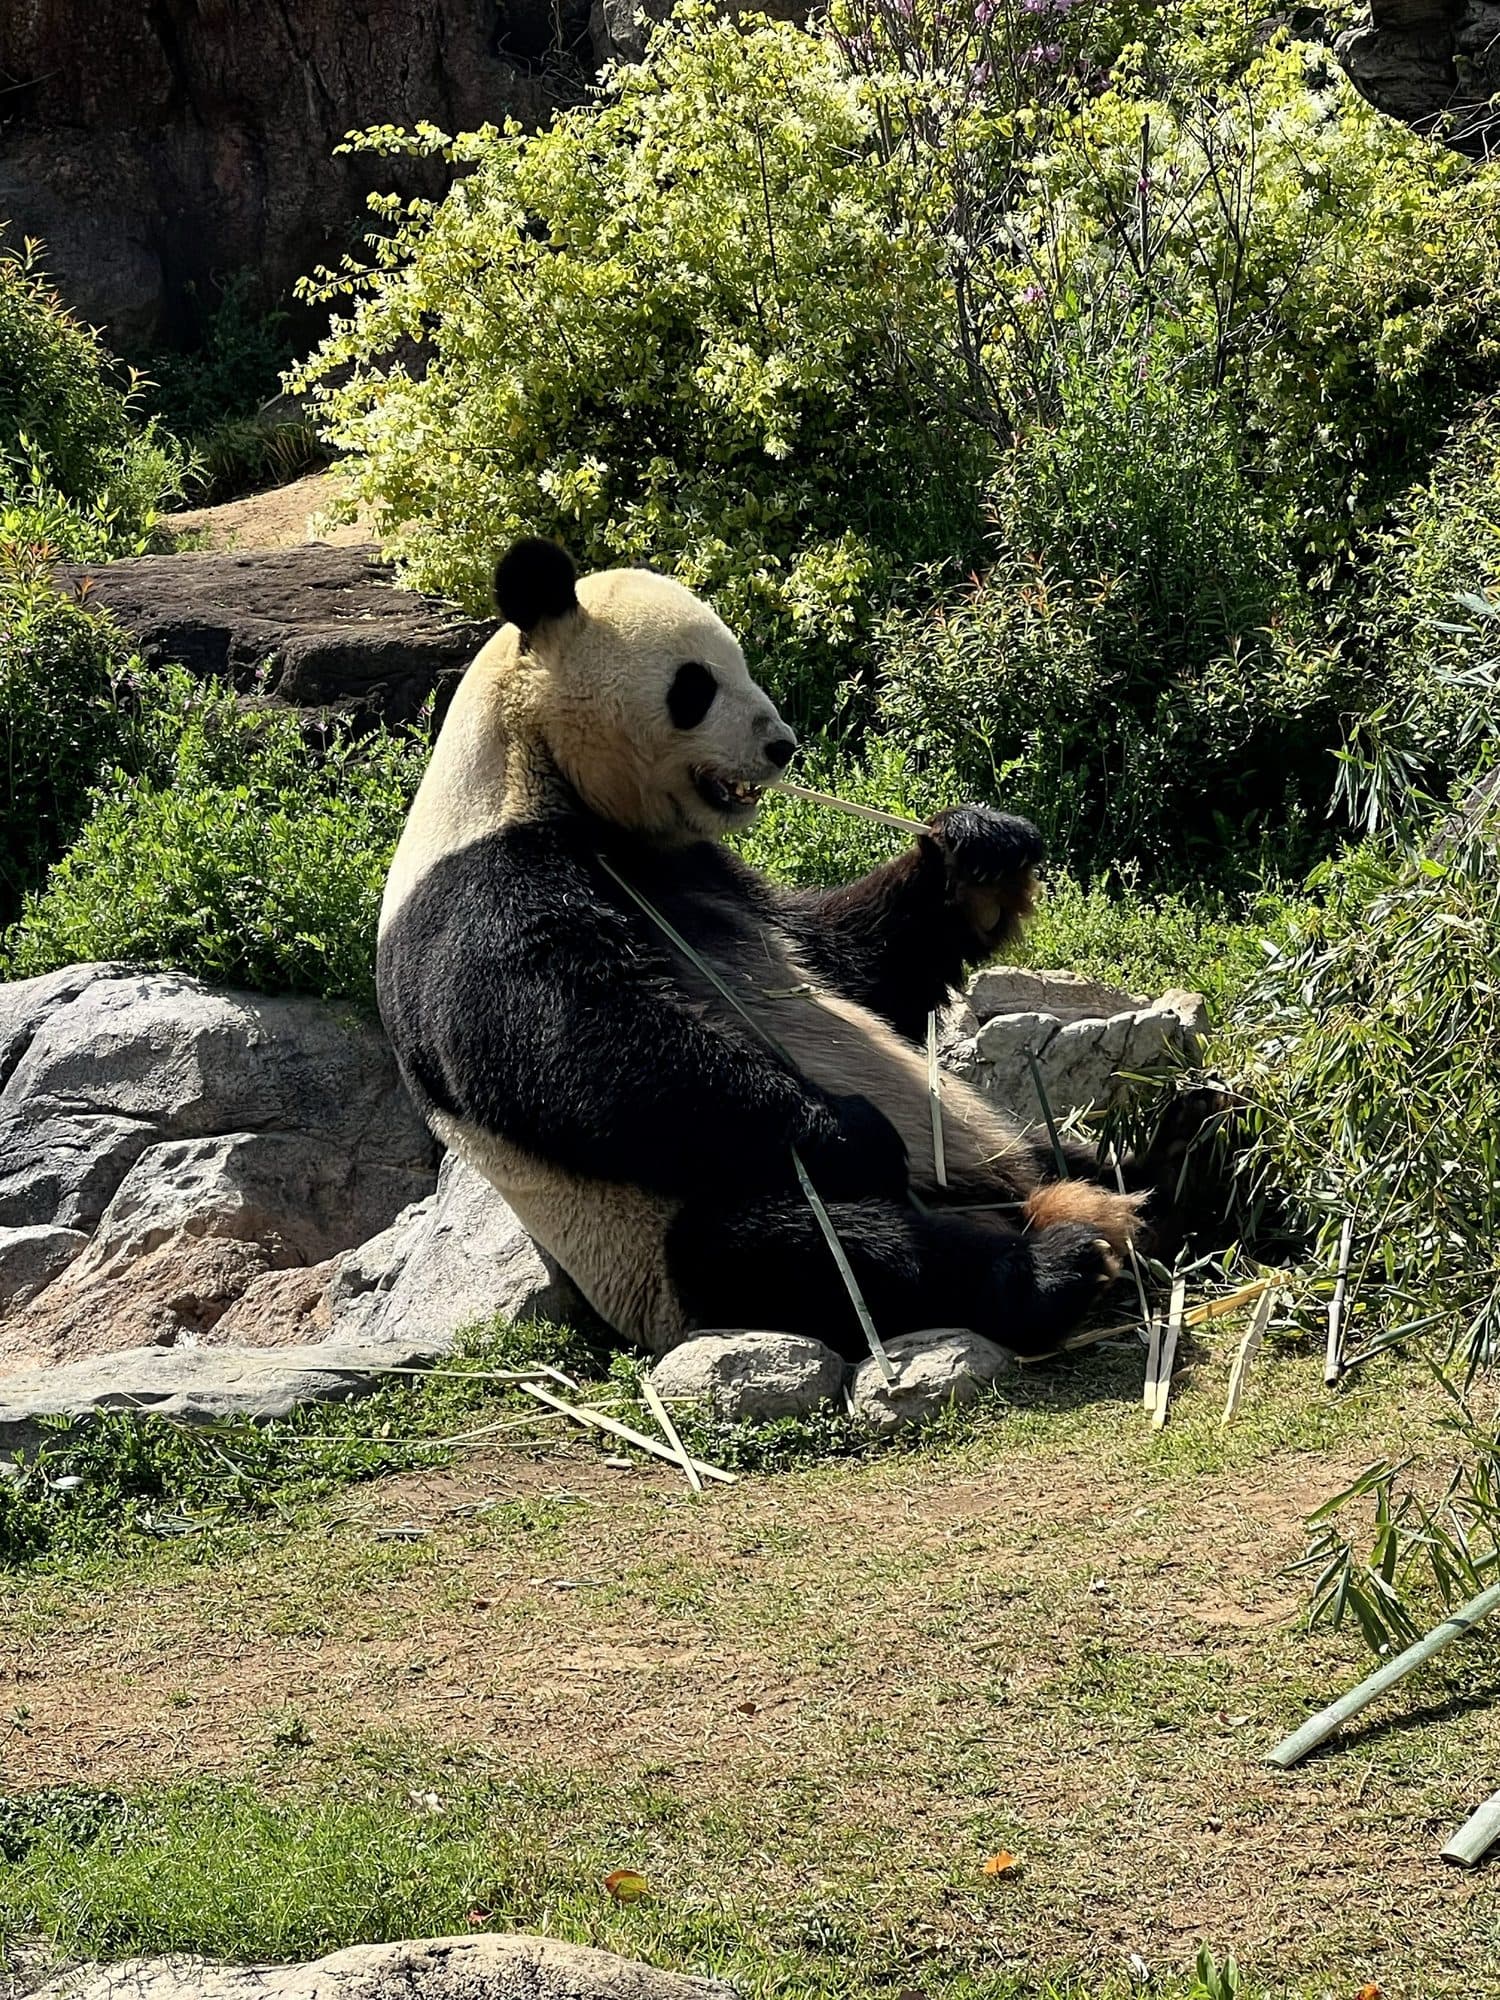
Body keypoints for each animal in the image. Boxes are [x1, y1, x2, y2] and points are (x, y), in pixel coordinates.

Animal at [376, 538, 1142, 1361]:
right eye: (695, 686)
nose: (782, 746)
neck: (528, 767)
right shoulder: (478, 892)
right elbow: (582, 1054)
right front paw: (853, 1131)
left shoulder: (710, 873)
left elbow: (849, 963)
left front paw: (982, 850)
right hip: (656, 1251)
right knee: (822, 1251)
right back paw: (1056, 1263)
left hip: (1005, 1149)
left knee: (1062, 1159)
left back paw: (1166, 1158)